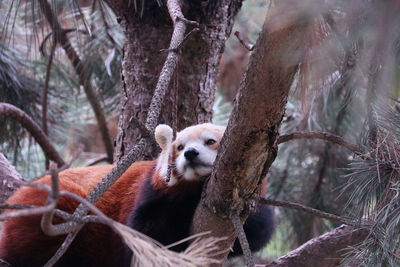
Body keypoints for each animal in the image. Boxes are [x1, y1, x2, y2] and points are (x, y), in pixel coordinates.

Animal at [0, 124, 272, 267]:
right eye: (179, 147)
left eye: (210, 141)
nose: (191, 153)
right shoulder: (149, 193)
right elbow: (148, 231)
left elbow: (257, 231)